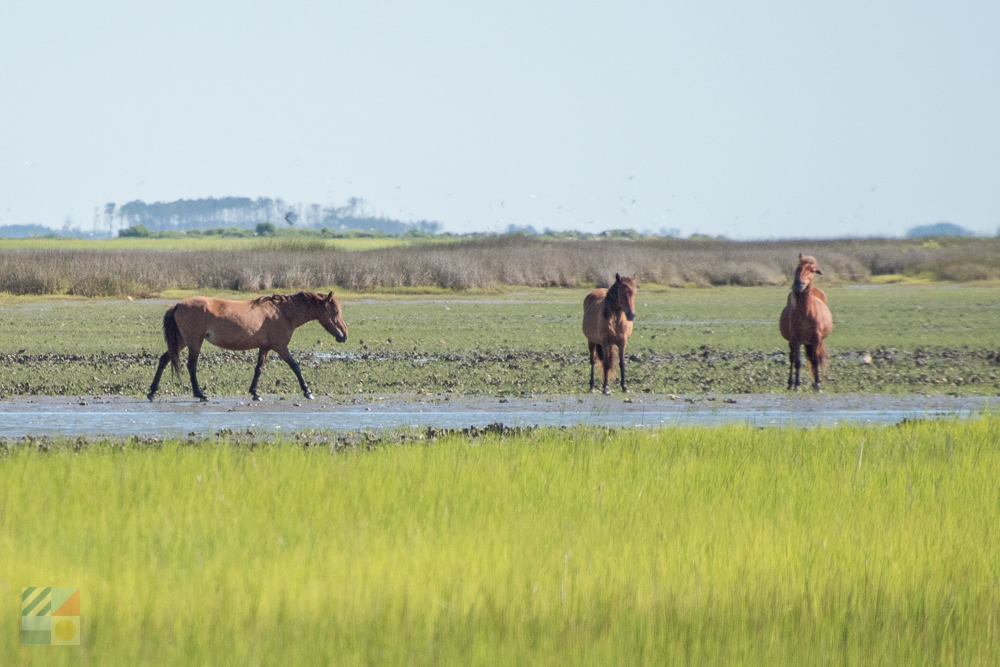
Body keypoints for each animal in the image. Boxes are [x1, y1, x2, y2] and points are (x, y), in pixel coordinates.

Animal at [145, 288, 348, 402]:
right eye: (335, 311)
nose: (344, 336)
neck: (283, 312)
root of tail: (177, 305)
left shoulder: (265, 348)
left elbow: (258, 369)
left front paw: (255, 393)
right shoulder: (280, 347)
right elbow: (295, 366)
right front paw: (307, 391)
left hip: (182, 341)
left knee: (164, 359)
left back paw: (152, 392)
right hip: (194, 341)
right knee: (191, 365)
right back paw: (200, 394)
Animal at [776, 254, 832, 392]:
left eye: (812, 270)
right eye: (798, 268)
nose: (798, 284)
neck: (806, 312)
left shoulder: (816, 338)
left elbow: (815, 360)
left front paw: (817, 384)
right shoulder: (795, 339)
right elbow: (797, 362)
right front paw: (796, 384)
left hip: (812, 342)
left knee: (813, 358)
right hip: (793, 342)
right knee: (792, 358)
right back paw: (790, 383)